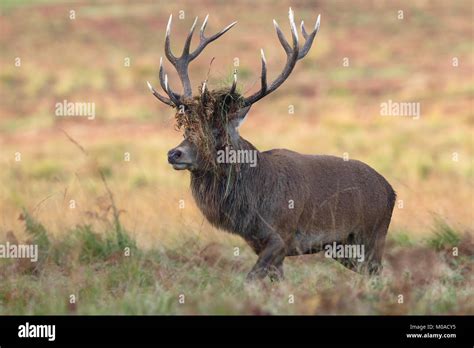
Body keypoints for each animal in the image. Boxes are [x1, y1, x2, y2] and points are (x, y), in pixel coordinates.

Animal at [145, 8, 396, 282]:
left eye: (218, 132)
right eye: (188, 128)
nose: (174, 153)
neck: (254, 206)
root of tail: (391, 191)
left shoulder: (282, 235)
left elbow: (250, 280)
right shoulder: (262, 244)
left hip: (372, 235)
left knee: (379, 275)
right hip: (343, 248)